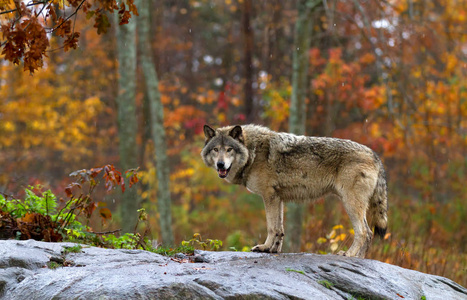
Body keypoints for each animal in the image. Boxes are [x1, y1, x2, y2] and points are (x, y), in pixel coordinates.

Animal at [201, 124, 388, 258]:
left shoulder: (269, 196)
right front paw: (273, 250)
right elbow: (280, 229)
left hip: (350, 204)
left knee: (363, 232)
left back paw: (348, 254)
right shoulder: (278, 198)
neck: (253, 153)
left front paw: (264, 247)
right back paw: (359, 258)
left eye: (229, 149)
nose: (220, 165)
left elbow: (271, 227)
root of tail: (375, 155)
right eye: (216, 149)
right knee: (369, 233)